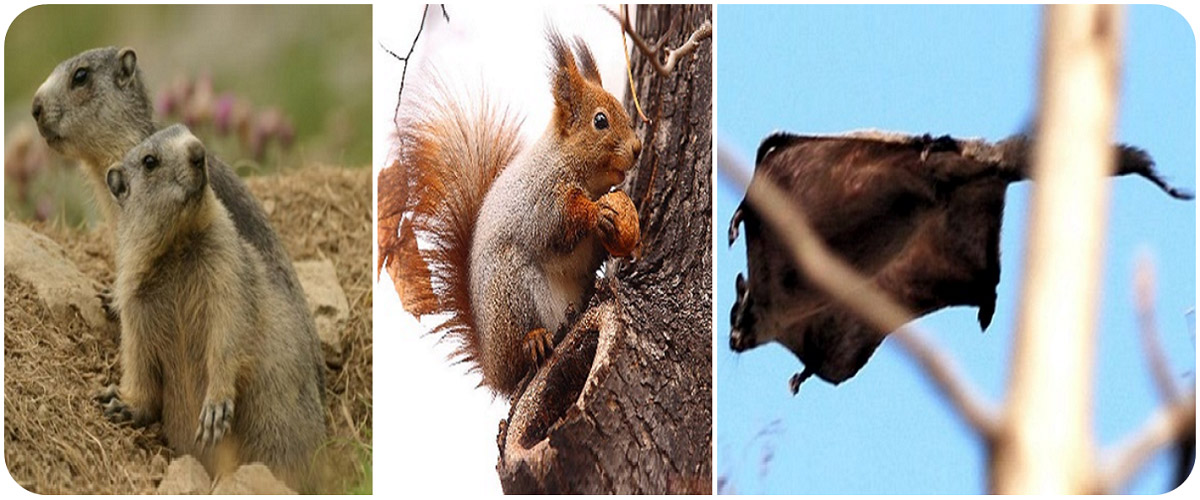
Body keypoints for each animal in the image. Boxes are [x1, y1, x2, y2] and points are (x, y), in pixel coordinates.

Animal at [96, 124, 326, 491]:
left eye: (188, 131)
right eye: (149, 161)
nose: (198, 151)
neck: (177, 244)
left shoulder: (226, 261)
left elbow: (229, 325)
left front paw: (216, 406)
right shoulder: (134, 295)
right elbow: (137, 353)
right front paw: (120, 403)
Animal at [382, 29, 643, 397]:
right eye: (600, 121)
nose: (637, 148)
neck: (567, 162)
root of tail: (493, 367)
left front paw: (627, 240)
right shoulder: (540, 199)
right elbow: (558, 224)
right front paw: (595, 214)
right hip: (512, 284)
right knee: (521, 351)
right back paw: (533, 340)